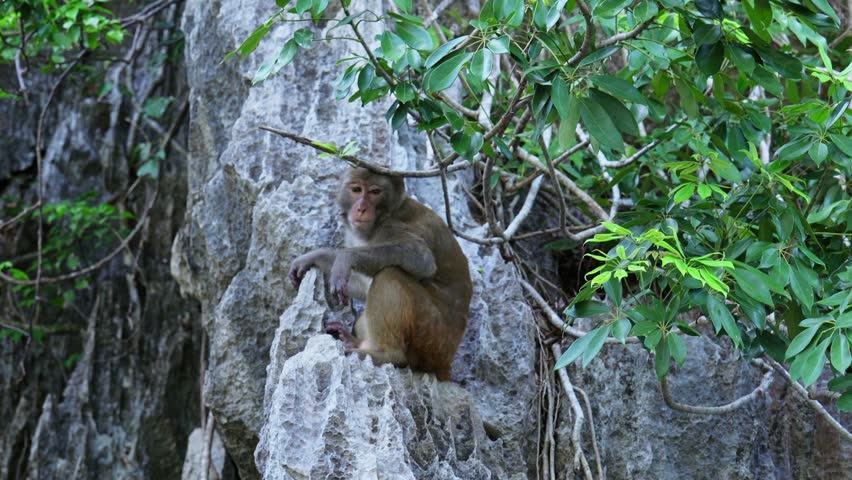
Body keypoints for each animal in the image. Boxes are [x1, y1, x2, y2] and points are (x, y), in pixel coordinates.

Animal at [288, 167, 473, 381]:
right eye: (356, 190)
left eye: (375, 192)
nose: (361, 208)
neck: (383, 216)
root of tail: (446, 364)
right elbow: (362, 286)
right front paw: (313, 257)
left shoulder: (391, 227)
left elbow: (420, 258)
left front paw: (345, 259)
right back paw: (352, 341)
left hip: (431, 338)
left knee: (390, 274)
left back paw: (385, 354)